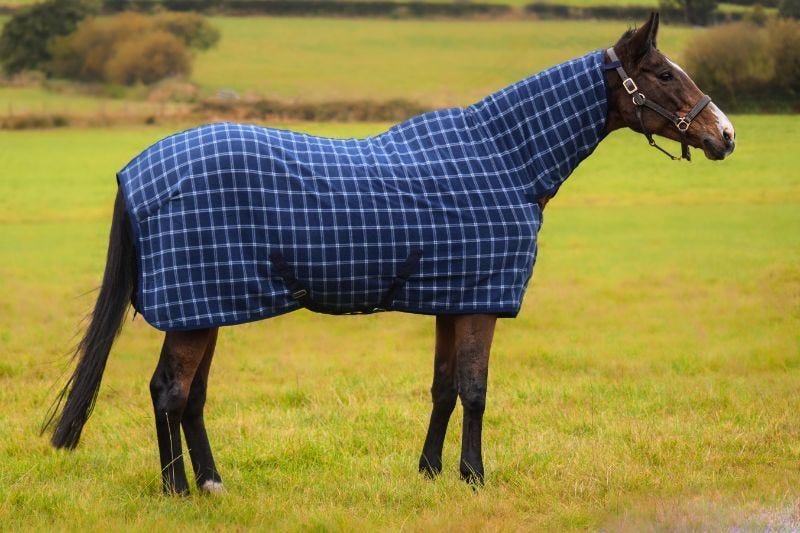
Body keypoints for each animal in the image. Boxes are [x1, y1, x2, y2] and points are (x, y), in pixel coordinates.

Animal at [44, 13, 735, 494]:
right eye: (665, 74)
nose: (724, 134)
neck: (503, 160)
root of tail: (137, 171)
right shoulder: (480, 302)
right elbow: (476, 389)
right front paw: (474, 477)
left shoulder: (452, 300)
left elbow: (444, 387)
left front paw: (430, 472)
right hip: (197, 308)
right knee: (169, 391)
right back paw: (178, 491)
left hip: (207, 308)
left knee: (189, 395)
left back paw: (211, 483)